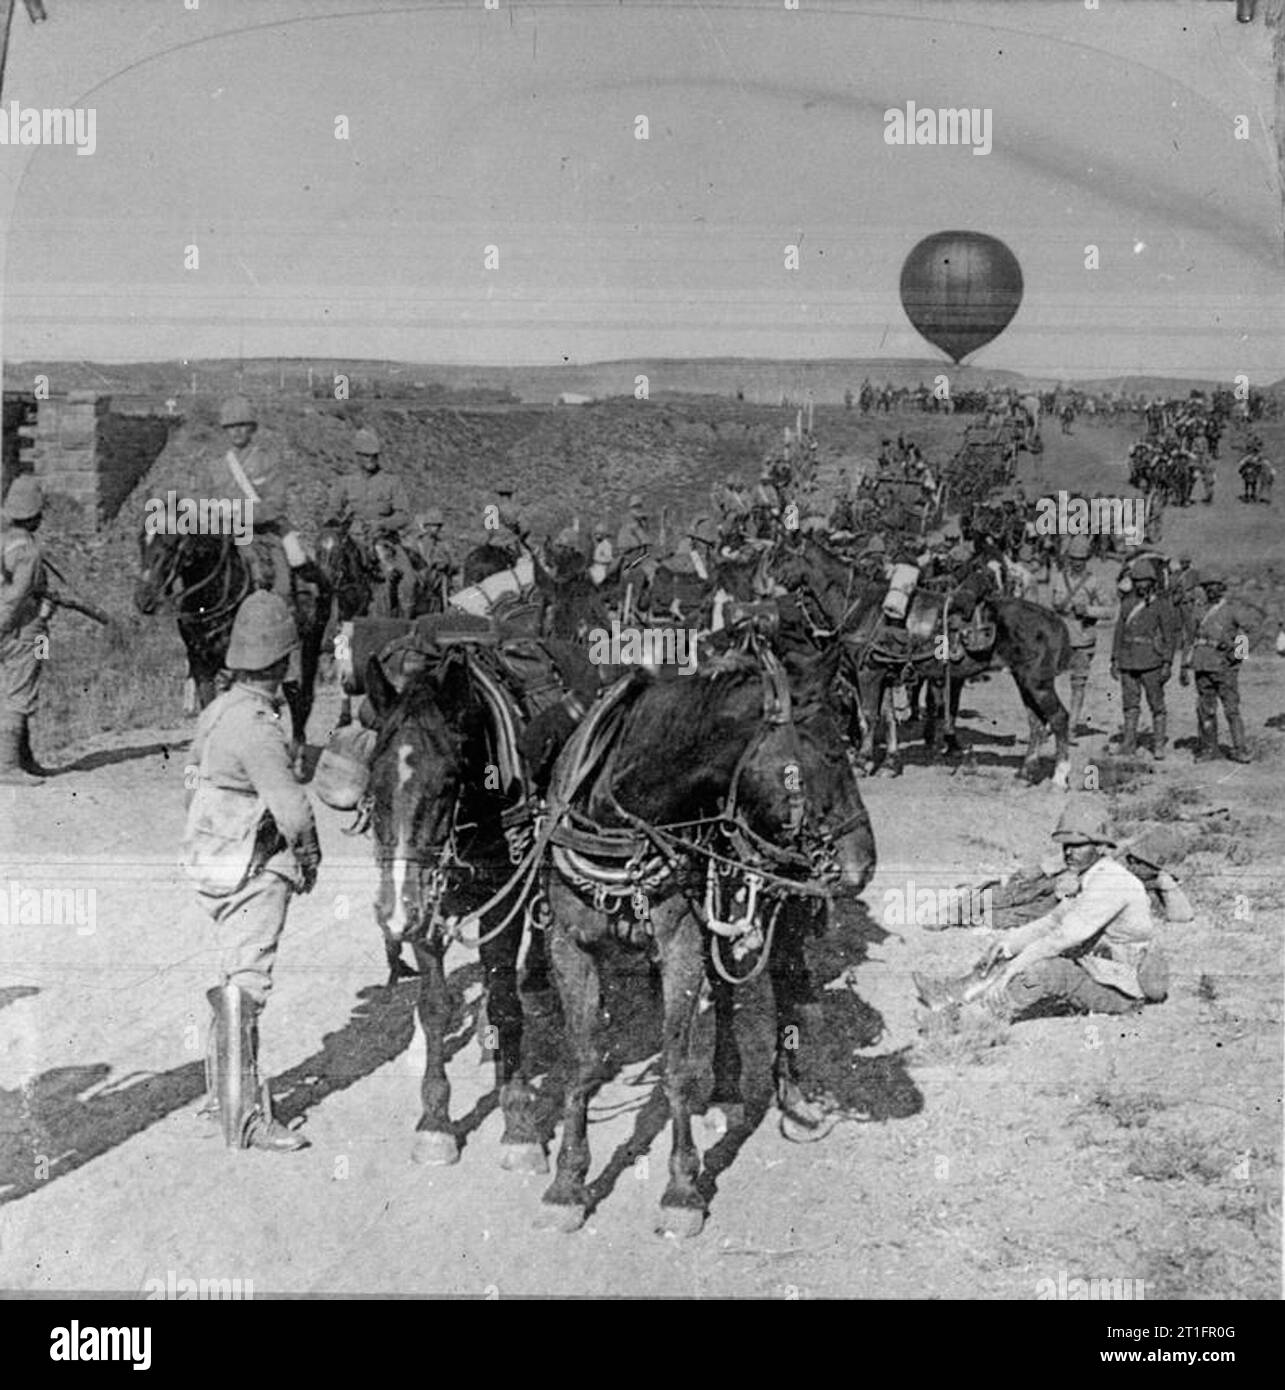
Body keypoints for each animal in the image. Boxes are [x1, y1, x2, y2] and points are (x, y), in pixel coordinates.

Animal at [131, 528, 328, 750]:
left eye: (170, 544)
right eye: (141, 541)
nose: (144, 598)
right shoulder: (201, 665)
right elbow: (209, 706)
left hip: (310, 644)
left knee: (301, 696)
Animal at [361, 647, 547, 1173]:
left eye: (448, 782)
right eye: (373, 780)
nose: (394, 911)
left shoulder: (504, 903)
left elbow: (506, 1004)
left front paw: (519, 1122)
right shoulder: (427, 907)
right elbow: (435, 1006)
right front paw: (435, 1121)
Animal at [536, 650, 878, 1239]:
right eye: (831, 753)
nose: (865, 859)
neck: (616, 820)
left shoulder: (679, 944)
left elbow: (676, 1067)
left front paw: (681, 1190)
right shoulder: (569, 945)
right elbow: (581, 1062)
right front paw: (567, 1183)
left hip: (787, 896)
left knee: (789, 989)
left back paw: (793, 1098)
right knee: (722, 990)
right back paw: (724, 1090)